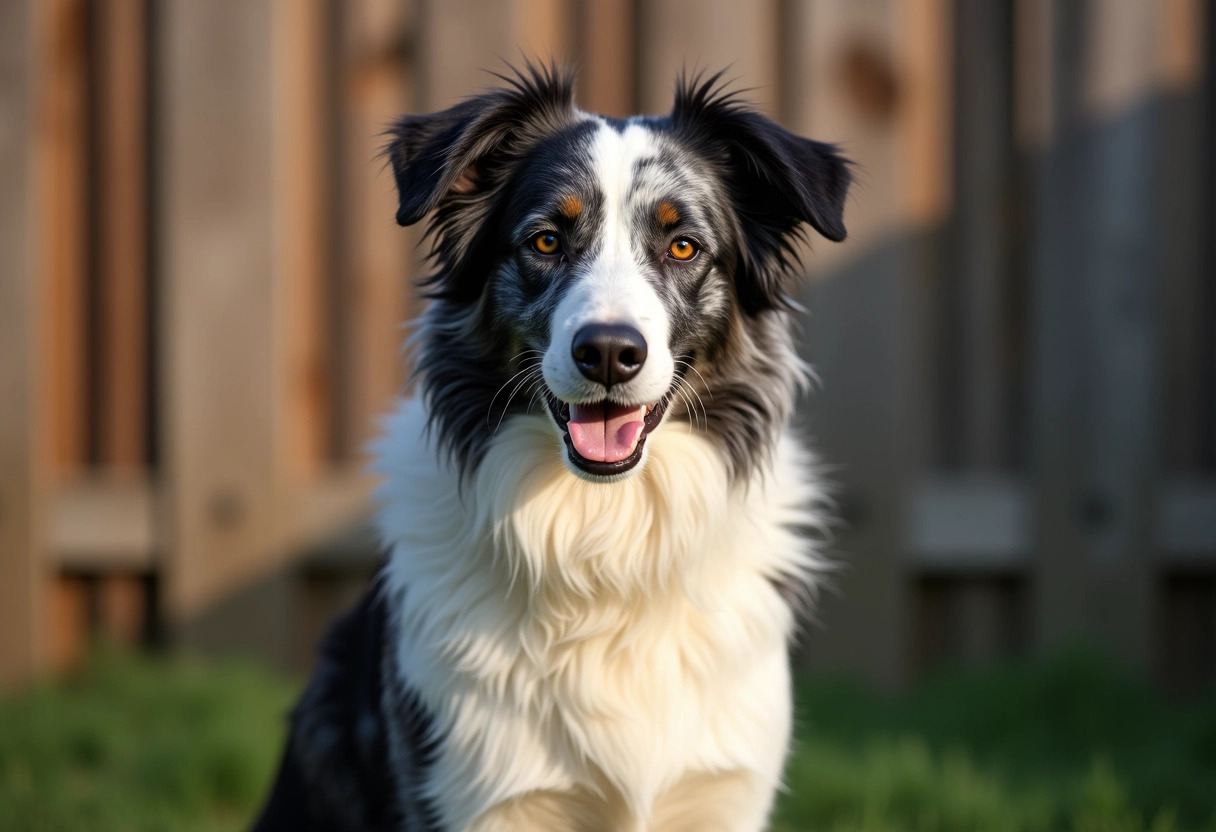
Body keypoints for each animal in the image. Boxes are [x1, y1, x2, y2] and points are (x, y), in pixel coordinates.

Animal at [251, 66, 851, 832]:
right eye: (543, 242)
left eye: (683, 246)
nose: (610, 352)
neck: (604, 532)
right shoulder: (479, 796)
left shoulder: (723, 793)